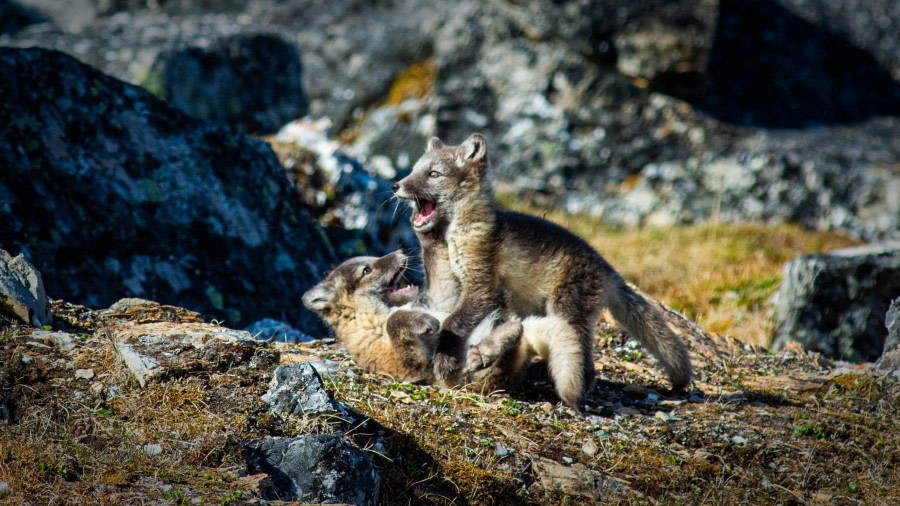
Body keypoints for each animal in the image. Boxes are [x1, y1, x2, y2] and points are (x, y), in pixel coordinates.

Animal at [390, 134, 692, 408]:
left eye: (433, 174)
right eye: (414, 170)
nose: (395, 185)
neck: (464, 230)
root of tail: (608, 269)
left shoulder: (482, 284)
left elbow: (454, 322)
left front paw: (444, 361)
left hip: (566, 307)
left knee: (585, 360)